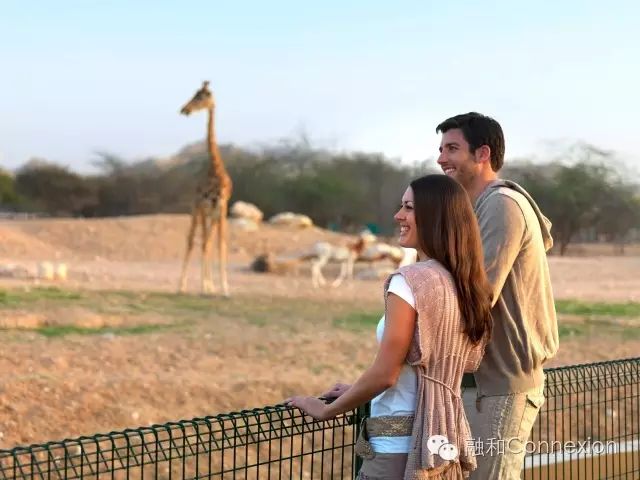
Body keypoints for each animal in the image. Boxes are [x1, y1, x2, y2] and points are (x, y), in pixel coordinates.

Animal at [178, 80, 232, 294]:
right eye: (196, 94)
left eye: (201, 96)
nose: (184, 110)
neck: (215, 169)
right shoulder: (203, 205)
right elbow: (203, 244)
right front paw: (203, 287)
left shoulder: (221, 208)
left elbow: (219, 245)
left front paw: (224, 289)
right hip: (196, 209)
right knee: (192, 239)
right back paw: (181, 286)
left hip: (211, 215)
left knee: (206, 240)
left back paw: (211, 286)